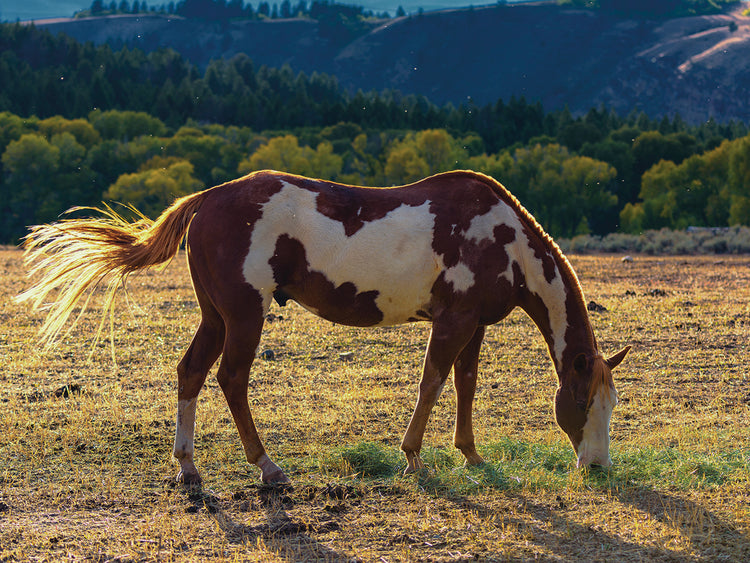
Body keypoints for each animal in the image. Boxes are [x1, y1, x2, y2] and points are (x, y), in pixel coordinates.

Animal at [17, 169, 630, 485]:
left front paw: (471, 454)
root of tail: (208, 198)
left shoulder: (474, 324)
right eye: (582, 400)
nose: (597, 465)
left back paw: (188, 467)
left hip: (216, 316)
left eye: (610, 404)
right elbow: (432, 383)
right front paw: (412, 454)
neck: (502, 238)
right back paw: (266, 467)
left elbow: (465, 386)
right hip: (244, 316)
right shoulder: (453, 321)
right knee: (231, 380)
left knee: (190, 373)